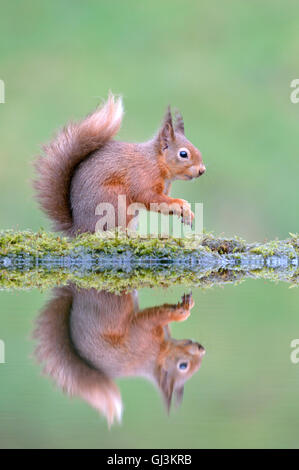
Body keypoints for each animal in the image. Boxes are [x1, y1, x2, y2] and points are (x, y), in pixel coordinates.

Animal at [34, 94, 205, 237]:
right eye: (183, 154)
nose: (202, 170)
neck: (156, 162)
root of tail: (80, 229)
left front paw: (187, 213)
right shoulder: (142, 176)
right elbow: (150, 197)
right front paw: (181, 204)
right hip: (115, 202)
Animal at [34, 286, 205, 426]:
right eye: (183, 365)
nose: (202, 349)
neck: (158, 356)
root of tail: (76, 298)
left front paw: (187, 303)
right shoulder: (143, 335)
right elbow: (155, 315)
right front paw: (181, 313)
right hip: (113, 306)